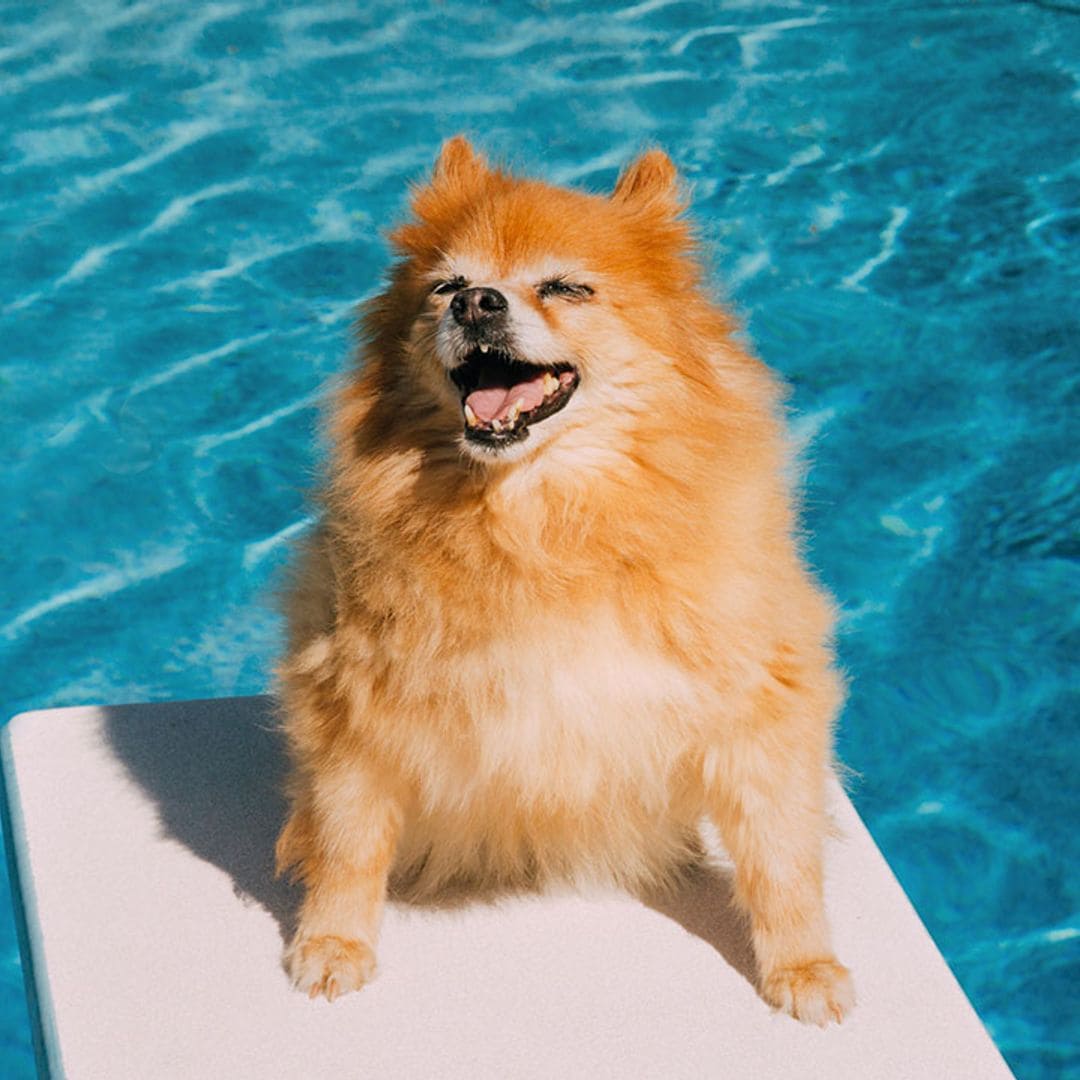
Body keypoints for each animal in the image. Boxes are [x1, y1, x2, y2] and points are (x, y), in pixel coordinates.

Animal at [274, 139, 855, 1023]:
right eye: (445, 285)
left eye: (565, 288)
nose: (476, 303)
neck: (541, 520)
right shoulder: (356, 699)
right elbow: (348, 838)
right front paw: (335, 940)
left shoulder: (759, 697)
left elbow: (781, 852)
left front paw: (804, 963)